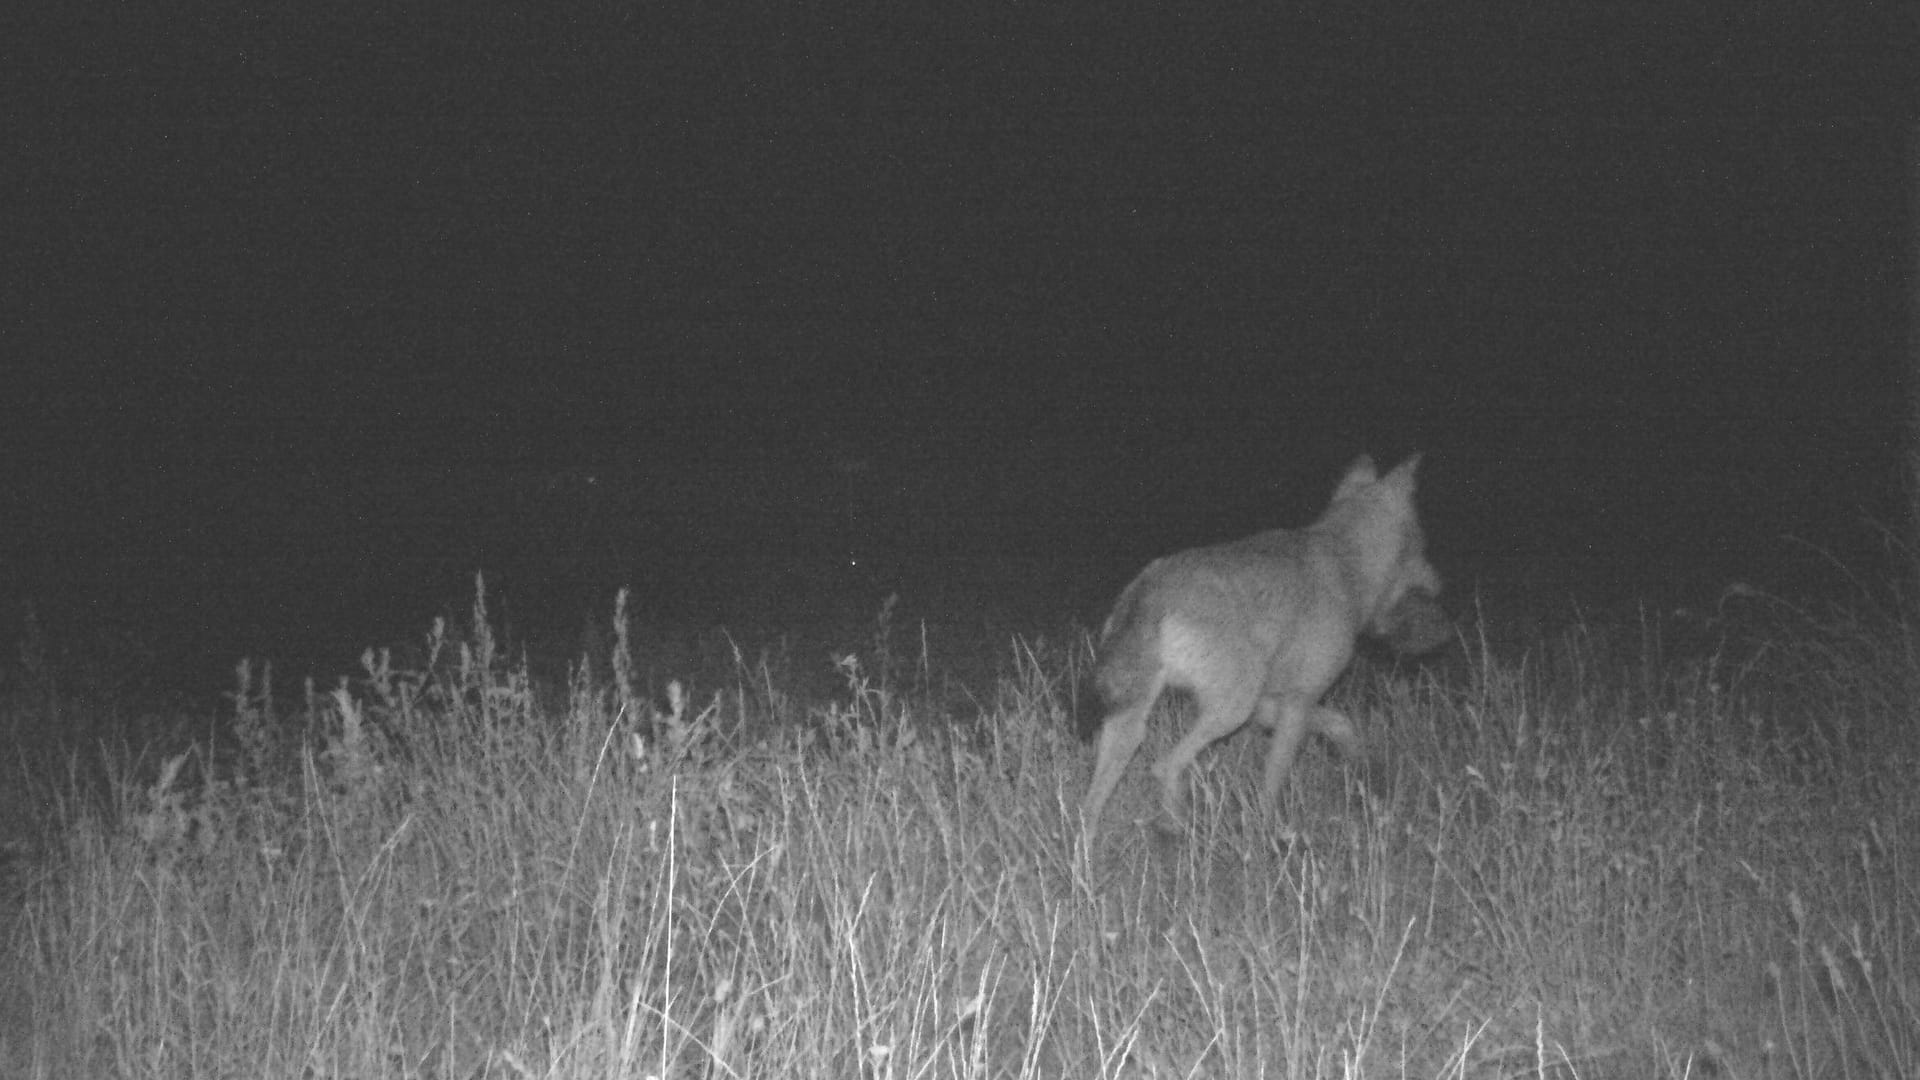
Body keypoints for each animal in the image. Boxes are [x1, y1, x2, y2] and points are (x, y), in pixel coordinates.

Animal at [1082, 451, 1443, 834]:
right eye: (1424, 547)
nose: (1441, 584)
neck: (1345, 563)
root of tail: (1150, 589)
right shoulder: (1297, 703)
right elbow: (1274, 780)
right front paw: (1270, 833)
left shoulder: (1271, 704)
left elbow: (1341, 724)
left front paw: (1360, 766)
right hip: (1228, 712)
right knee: (1164, 767)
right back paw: (1176, 830)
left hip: (1136, 725)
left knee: (1089, 808)